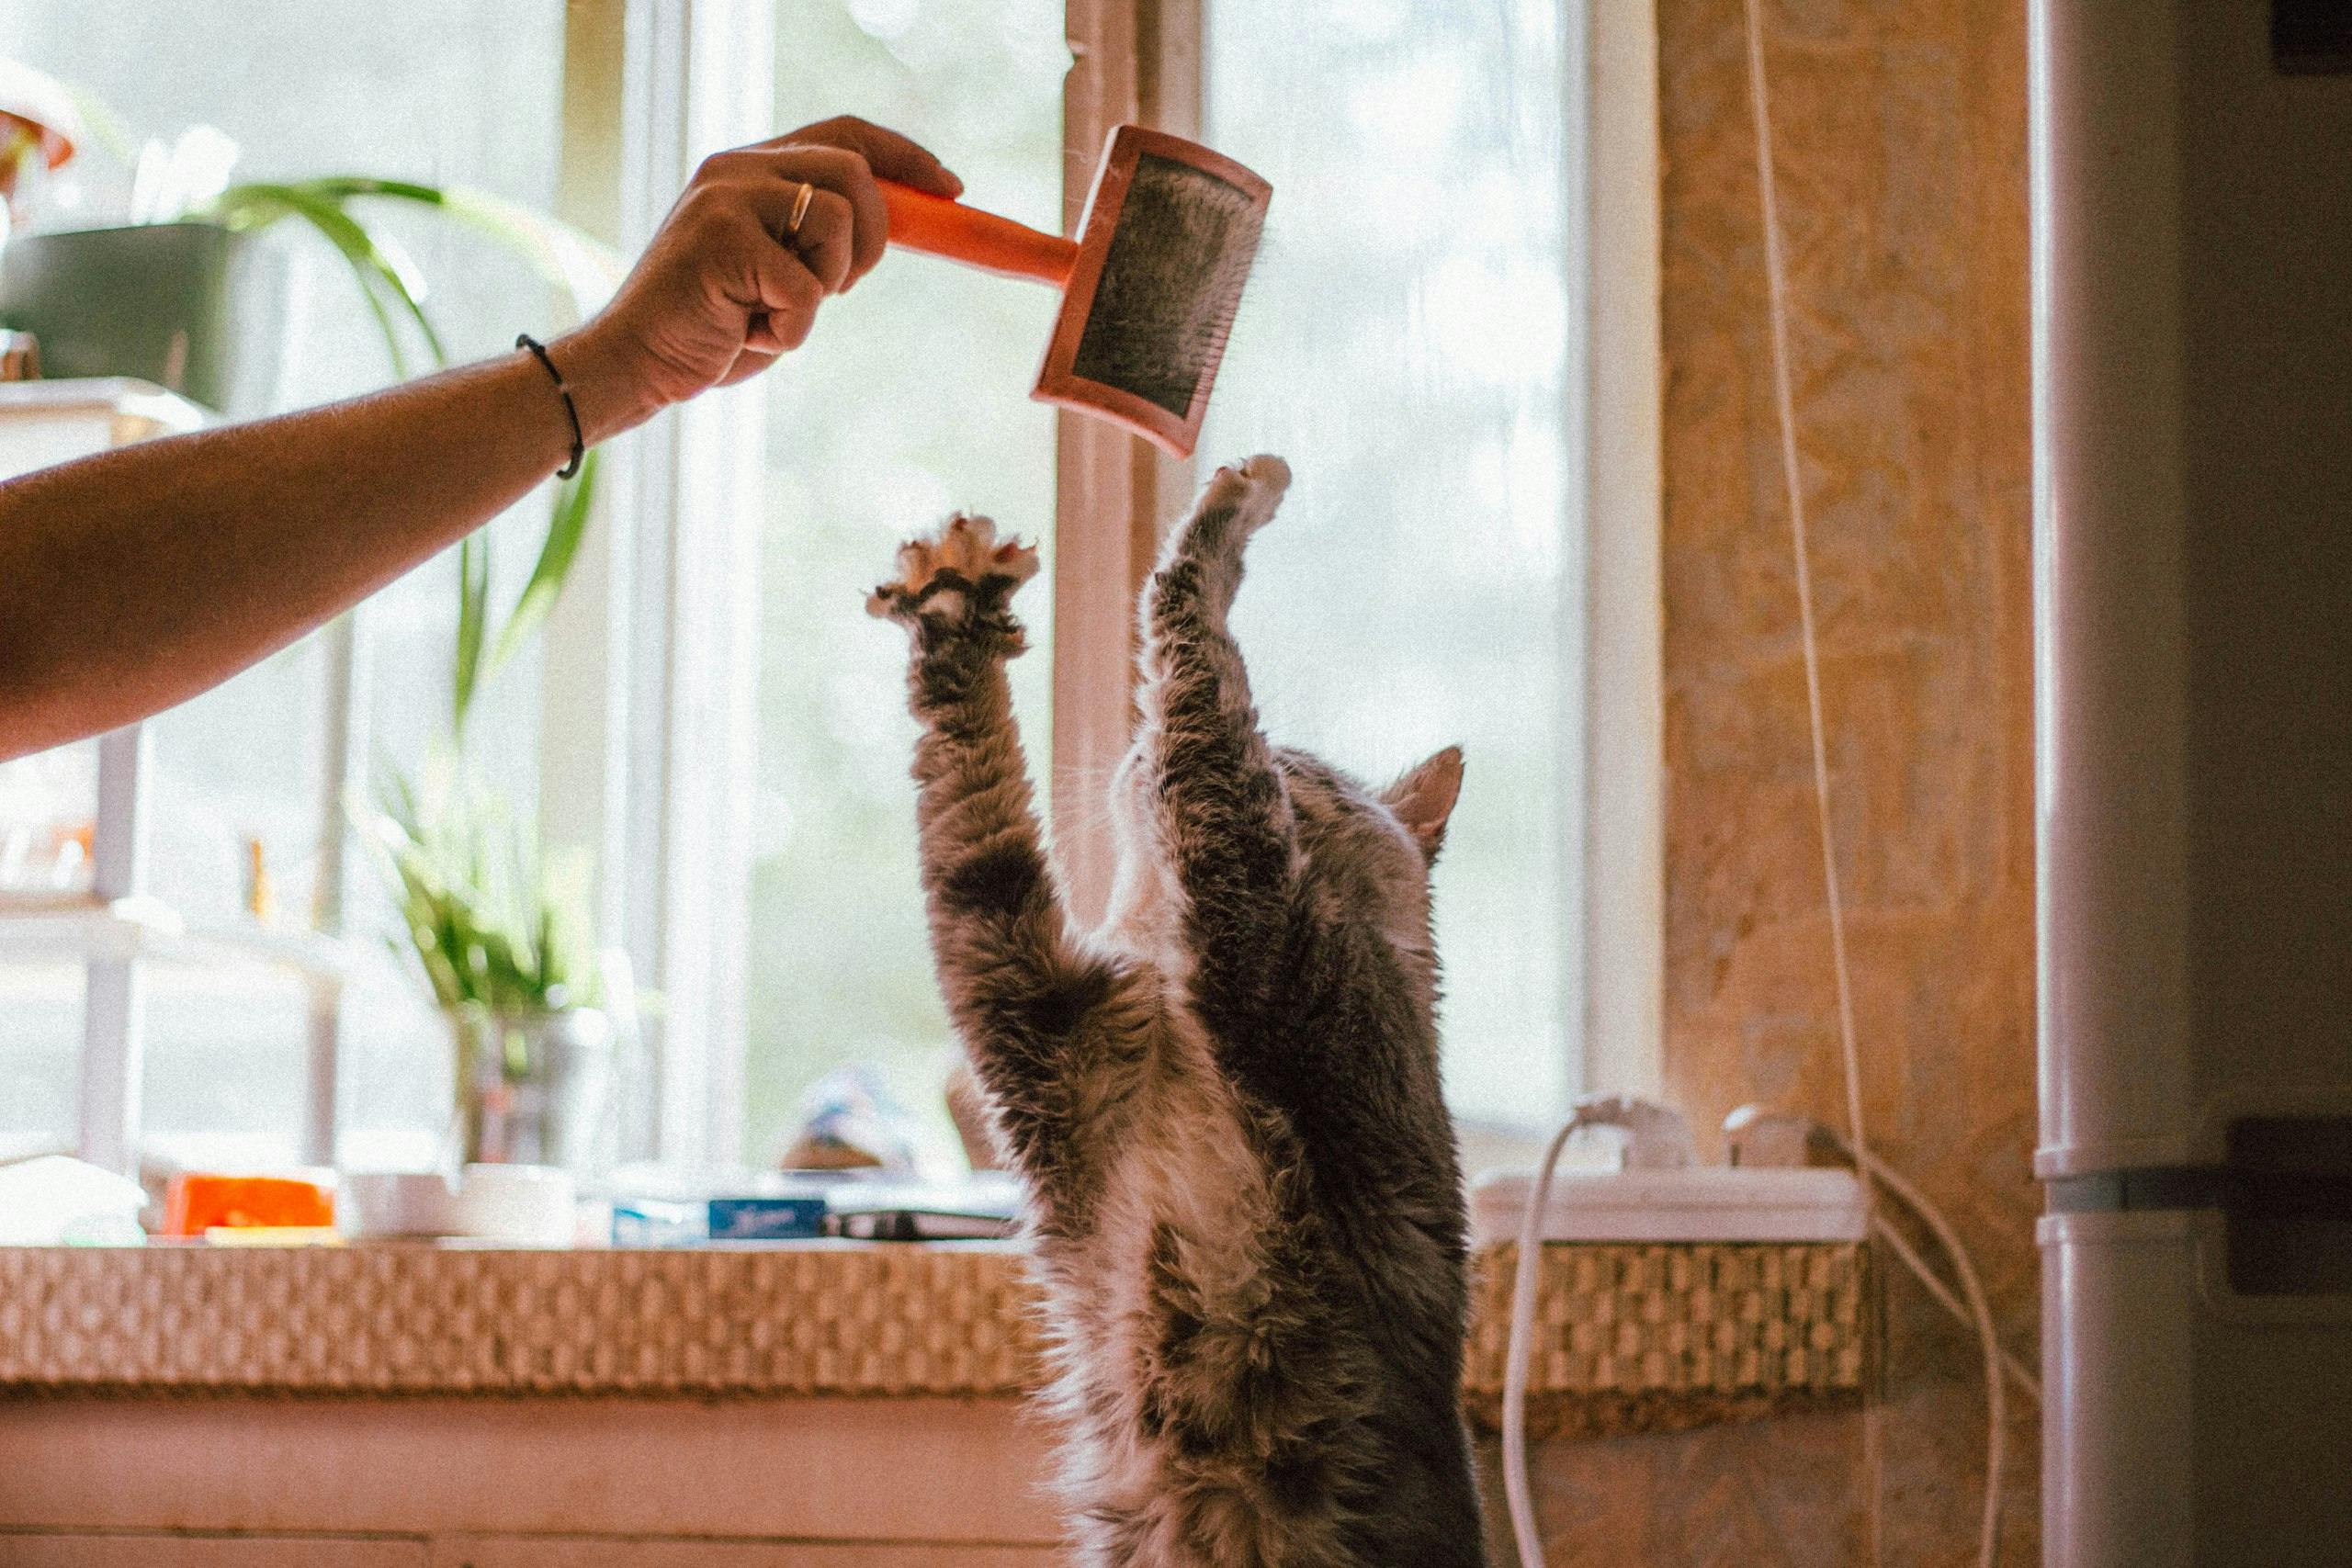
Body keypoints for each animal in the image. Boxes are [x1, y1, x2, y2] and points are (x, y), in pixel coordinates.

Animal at [875, 453, 1476, 1568]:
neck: (1176, 1018)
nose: (1130, 747)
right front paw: (953, 618)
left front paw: (1235, 502)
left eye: (1291, 766)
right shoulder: (1029, 1001)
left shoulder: (1264, 922)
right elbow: (974, 811)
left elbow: (1189, 626)